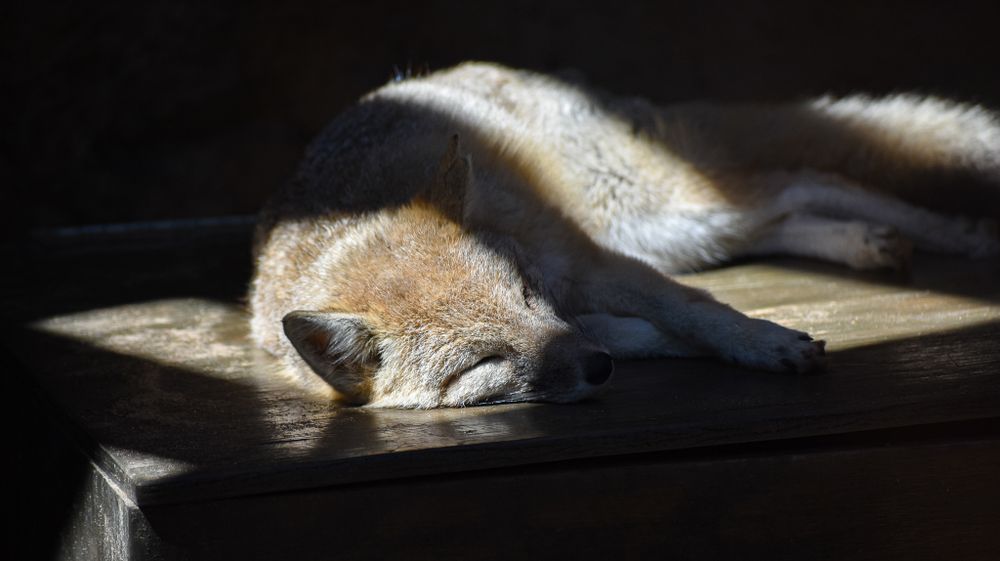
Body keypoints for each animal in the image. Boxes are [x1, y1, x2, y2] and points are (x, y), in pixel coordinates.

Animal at [249, 62, 1000, 409]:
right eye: (483, 361)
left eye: (527, 298)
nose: (598, 370)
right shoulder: (590, 298)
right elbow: (650, 333)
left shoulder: (589, 266)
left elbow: (700, 312)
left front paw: (766, 344)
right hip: (672, 233)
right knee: (785, 210)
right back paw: (866, 243)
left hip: (664, 215)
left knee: (802, 181)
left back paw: (957, 236)